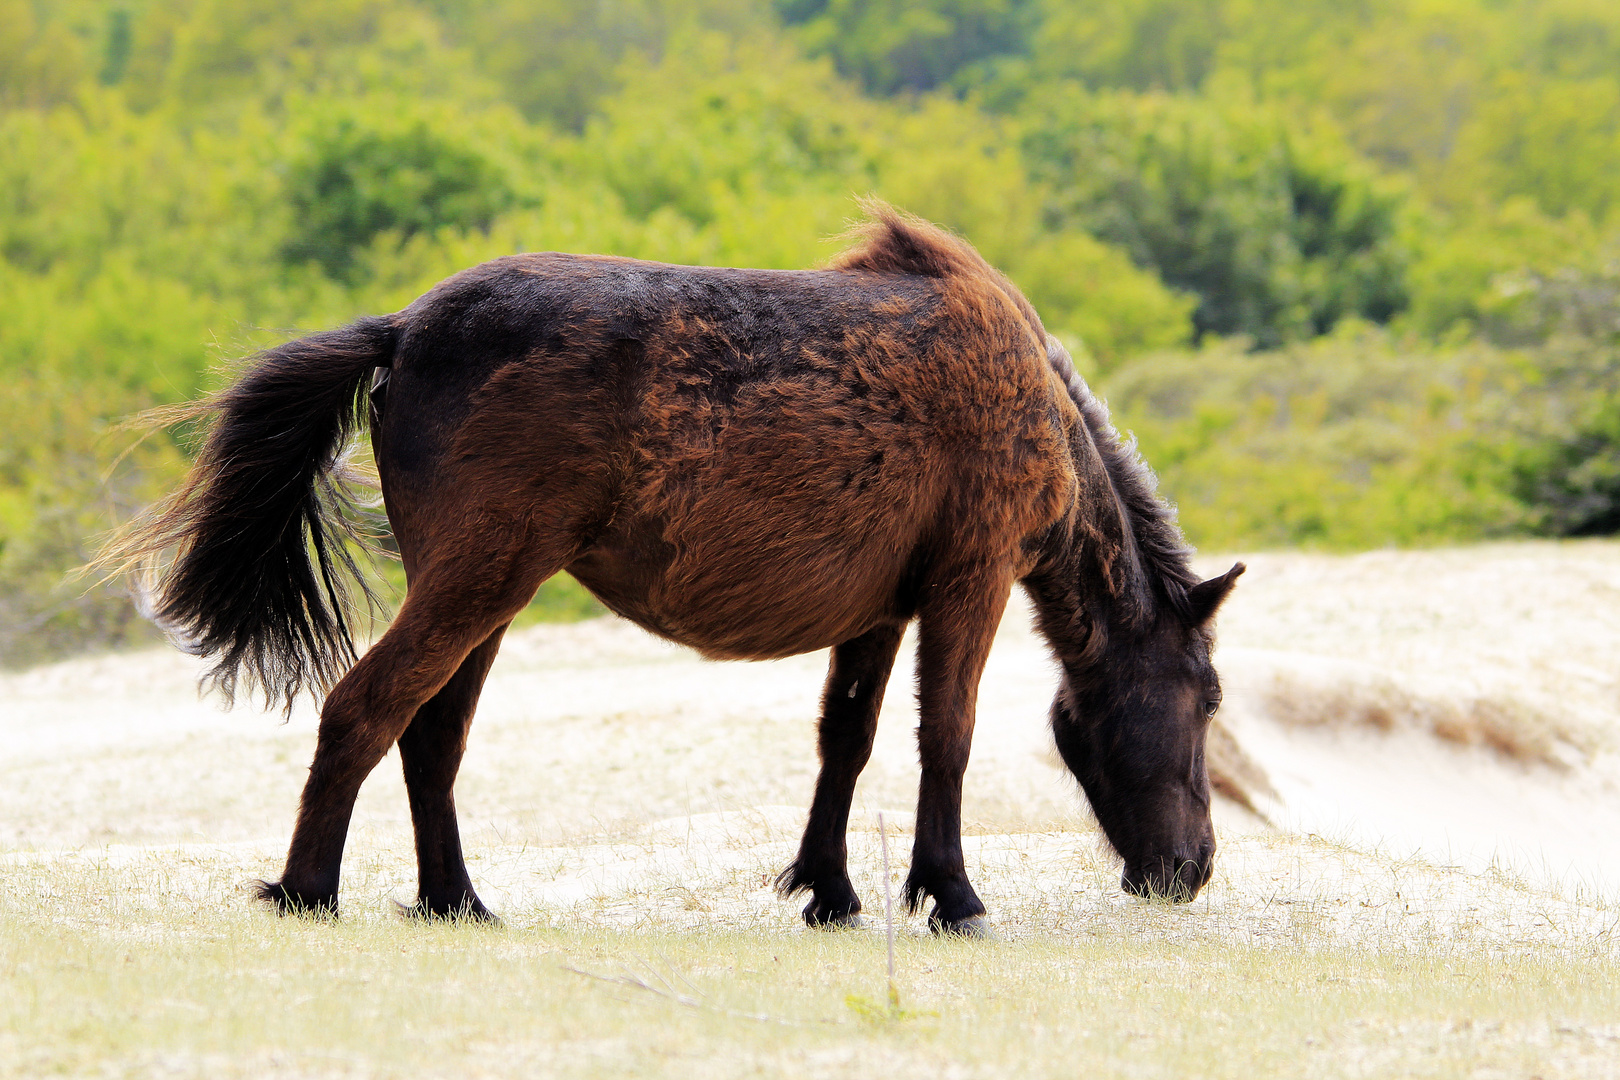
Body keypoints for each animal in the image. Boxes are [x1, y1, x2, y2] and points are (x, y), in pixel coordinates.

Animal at [107, 204, 1244, 939]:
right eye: (1208, 697)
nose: (1190, 871)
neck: (1030, 402)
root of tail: (402, 331)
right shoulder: (970, 581)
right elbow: (946, 741)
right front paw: (951, 897)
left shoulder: (880, 611)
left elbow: (847, 741)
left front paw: (830, 890)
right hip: (480, 582)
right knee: (365, 708)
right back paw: (307, 890)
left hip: (483, 592)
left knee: (430, 736)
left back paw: (455, 900)